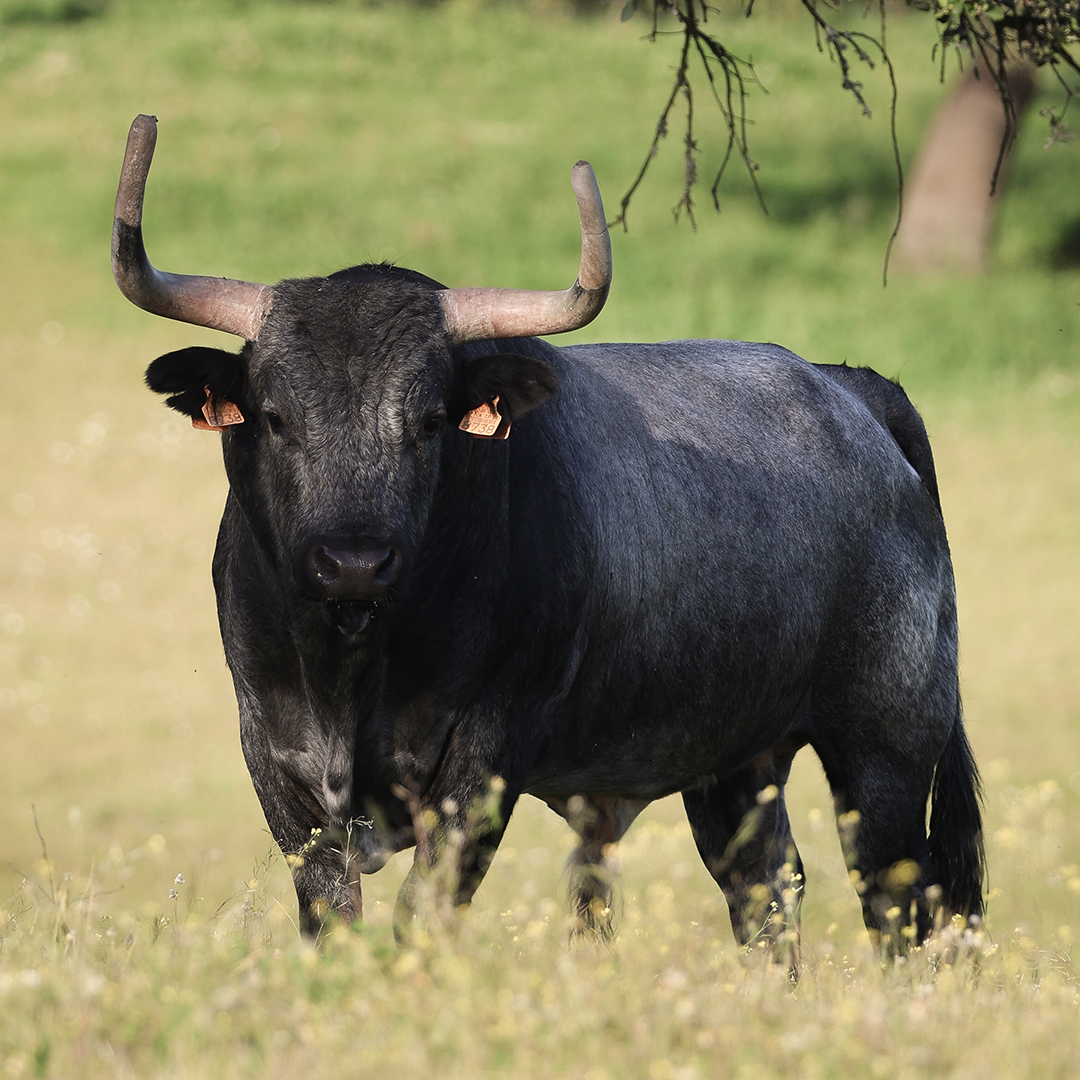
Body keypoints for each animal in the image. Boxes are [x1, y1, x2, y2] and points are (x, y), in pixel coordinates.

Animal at [113, 116, 984, 963]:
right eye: (273, 416)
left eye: (430, 419)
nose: (354, 562)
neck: (355, 666)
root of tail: (850, 389)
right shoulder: (274, 752)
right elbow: (331, 919)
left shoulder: (483, 759)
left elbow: (423, 912)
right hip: (735, 763)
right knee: (768, 891)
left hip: (888, 749)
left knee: (901, 904)